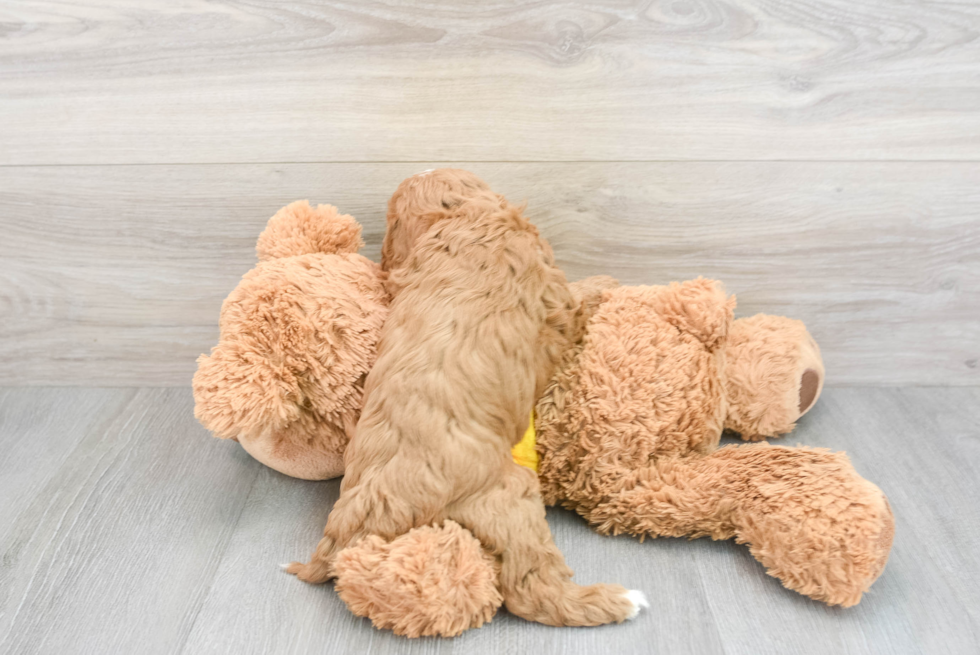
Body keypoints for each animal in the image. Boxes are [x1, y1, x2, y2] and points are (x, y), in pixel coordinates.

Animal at [288, 172, 648, 628]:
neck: (462, 217)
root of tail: (368, 506)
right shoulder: (556, 300)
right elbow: (578, 296)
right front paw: (607, 284)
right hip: (510, 497)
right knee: (530, 590)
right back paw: (616, 601)